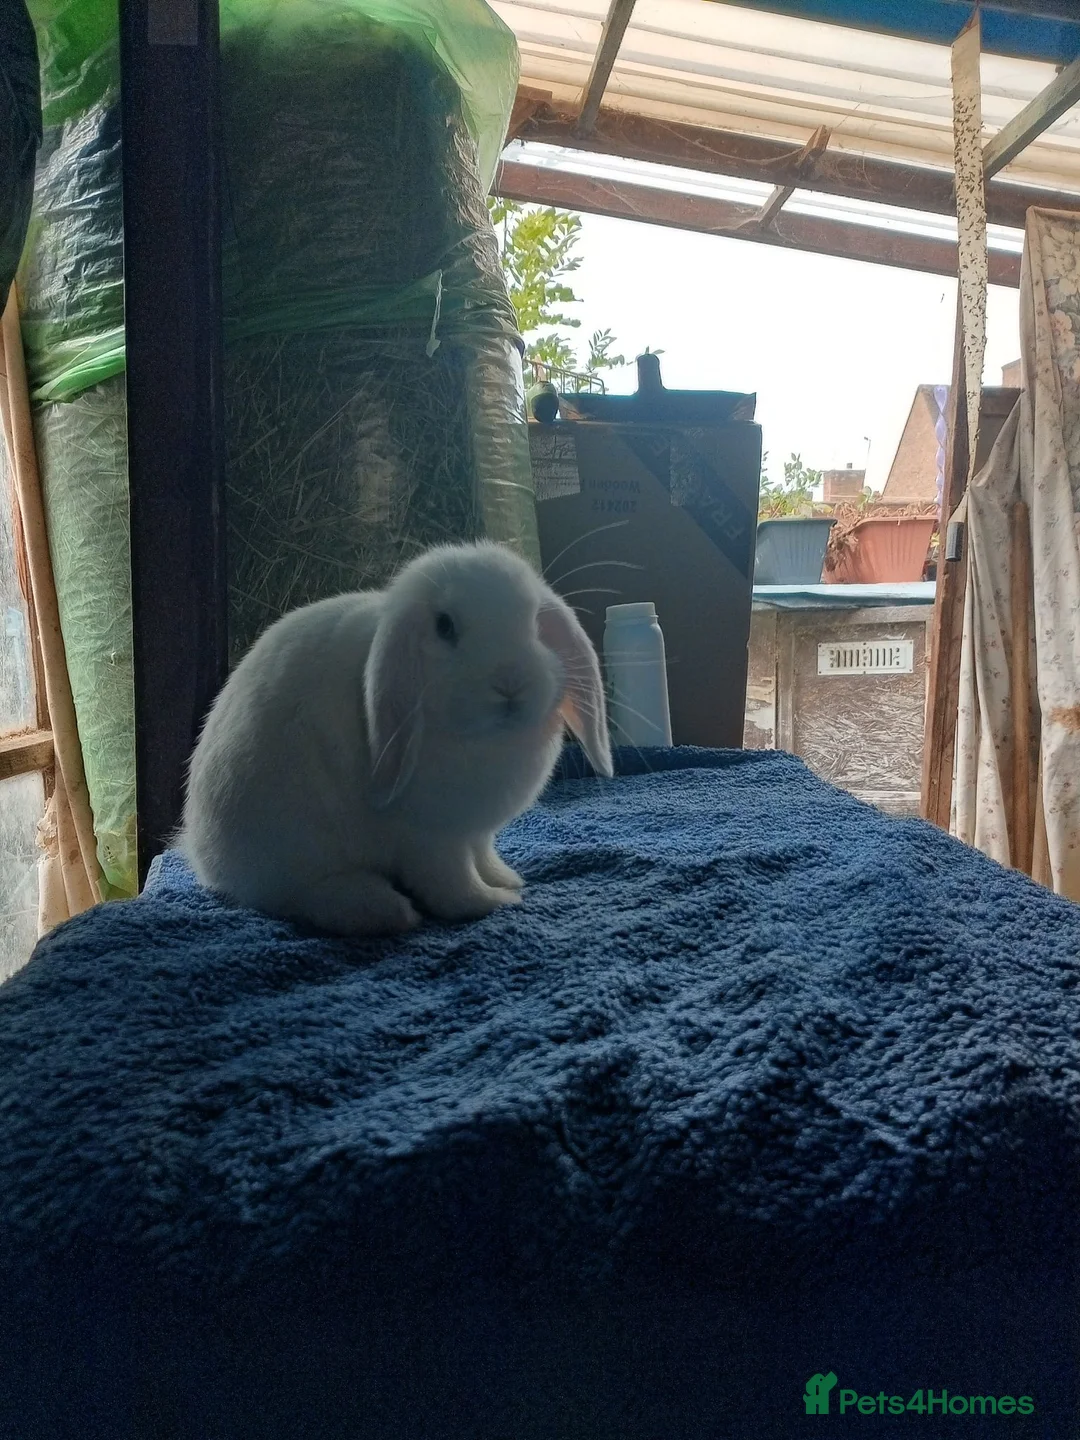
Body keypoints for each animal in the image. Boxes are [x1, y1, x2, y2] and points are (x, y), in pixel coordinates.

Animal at [180, 541, 613, 936]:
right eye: (444, 626)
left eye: (537, 623)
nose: (511, 682)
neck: (479, 738)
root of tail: (202, 854)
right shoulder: (431, 840)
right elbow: (452, 888)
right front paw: (495, 901)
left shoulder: (476, 834)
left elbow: (484, 857)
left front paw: (506, 878)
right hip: (295, 850)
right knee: (299, 896)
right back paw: (385, 911)